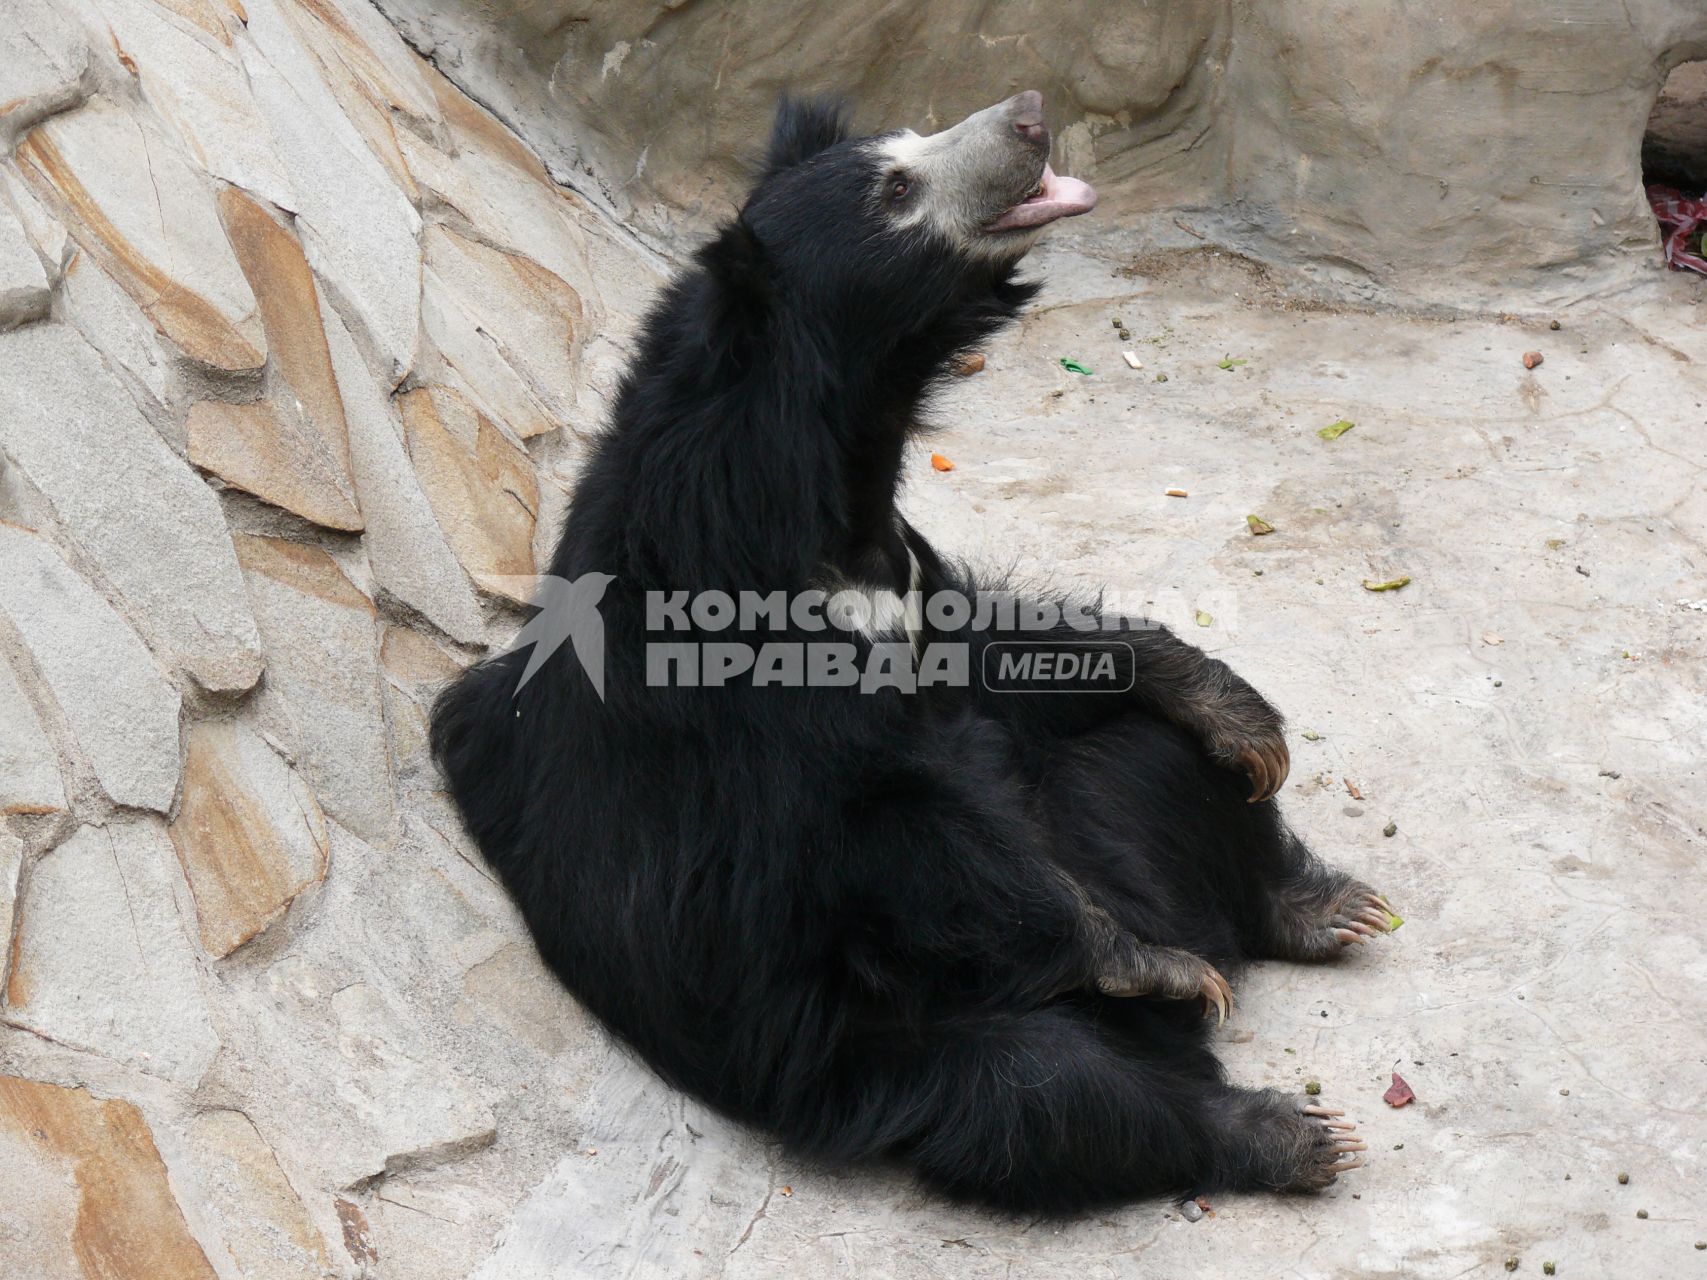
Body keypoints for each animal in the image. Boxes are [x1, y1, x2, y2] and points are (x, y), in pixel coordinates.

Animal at [433, 90, 1392, 1215]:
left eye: (906, 144)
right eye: (896, 187)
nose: (1028, 114)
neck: (823, 486)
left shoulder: (903, 576)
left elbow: (1002, 650)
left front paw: (1236, 709)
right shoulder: (742, 691)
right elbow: (899, 831)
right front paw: (1145, 959)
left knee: (1168, 764)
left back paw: (1318, 906)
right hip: (885, 1040)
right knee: (1049, 1090)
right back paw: (1272, 1108)